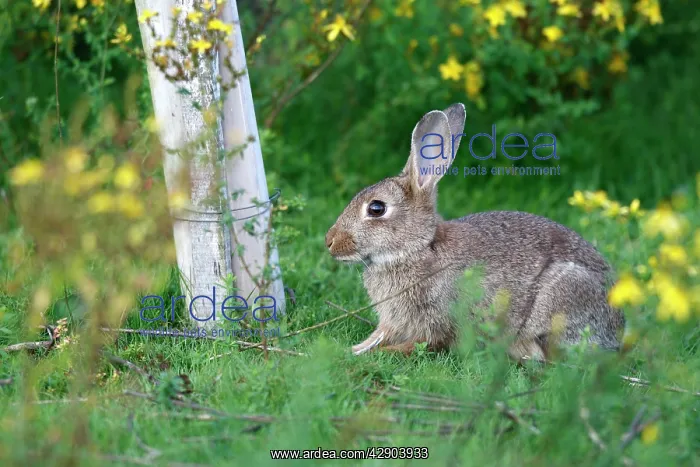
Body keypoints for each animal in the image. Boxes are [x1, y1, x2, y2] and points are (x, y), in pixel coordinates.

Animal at [324, 103, 625, 361]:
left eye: (376, 208)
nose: (329, 241)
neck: (420, 247)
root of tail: (619, 328)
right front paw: (353, 349)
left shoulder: (437, 322)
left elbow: (423, 344)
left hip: (562, 296)